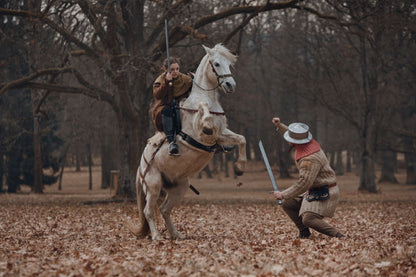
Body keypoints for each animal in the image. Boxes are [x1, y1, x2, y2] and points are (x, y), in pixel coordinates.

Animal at [130, 43, 245, 239]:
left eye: (229, 64)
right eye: (216, 64)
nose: (230, 85)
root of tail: (140, 167)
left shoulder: (221, 134)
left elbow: (241, 139)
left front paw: (239, 167)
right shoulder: (202, 134)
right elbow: (204, 114)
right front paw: (206, 121)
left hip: (179, 187)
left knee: (165, 209)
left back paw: (176, 234)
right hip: (153, 186)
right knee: (148, 211)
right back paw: (156, 236)